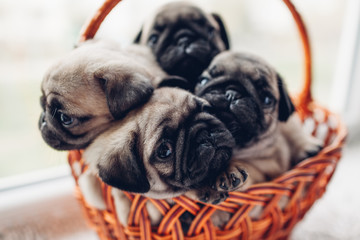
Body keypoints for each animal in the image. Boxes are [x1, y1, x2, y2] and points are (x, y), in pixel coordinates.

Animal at [194, 51, 324, 193]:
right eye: (203, 80)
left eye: (267, 99)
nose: (232, 93)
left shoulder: (271, 167)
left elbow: (252, 168)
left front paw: (228, 170)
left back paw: (309, 147)